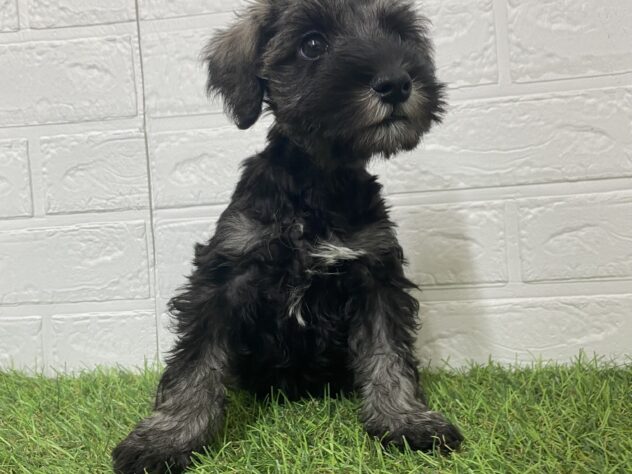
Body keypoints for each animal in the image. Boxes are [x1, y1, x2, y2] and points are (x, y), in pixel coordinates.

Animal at [112, 0, 463, 472]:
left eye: (401, 34)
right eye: (311, 44)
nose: (396, 82)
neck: (316, 183)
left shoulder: (376, 276)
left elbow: (388, 352)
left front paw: (406, 420)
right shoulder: (223, 274)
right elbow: (195, 363)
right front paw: (165, 439)